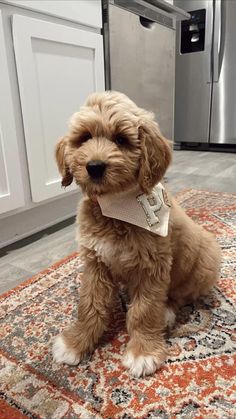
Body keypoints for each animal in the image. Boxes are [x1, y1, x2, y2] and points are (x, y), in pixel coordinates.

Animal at [52, 91, 220, 378]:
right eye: (84, 137)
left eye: (121, 139)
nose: (94, 167)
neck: (116, 209)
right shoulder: (95, 262)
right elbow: (90, 306)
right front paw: (76, 342)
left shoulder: (152, 268)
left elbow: (144, 311)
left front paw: (143, 352)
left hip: (205, 260)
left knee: (181, 294)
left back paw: (167, 312)